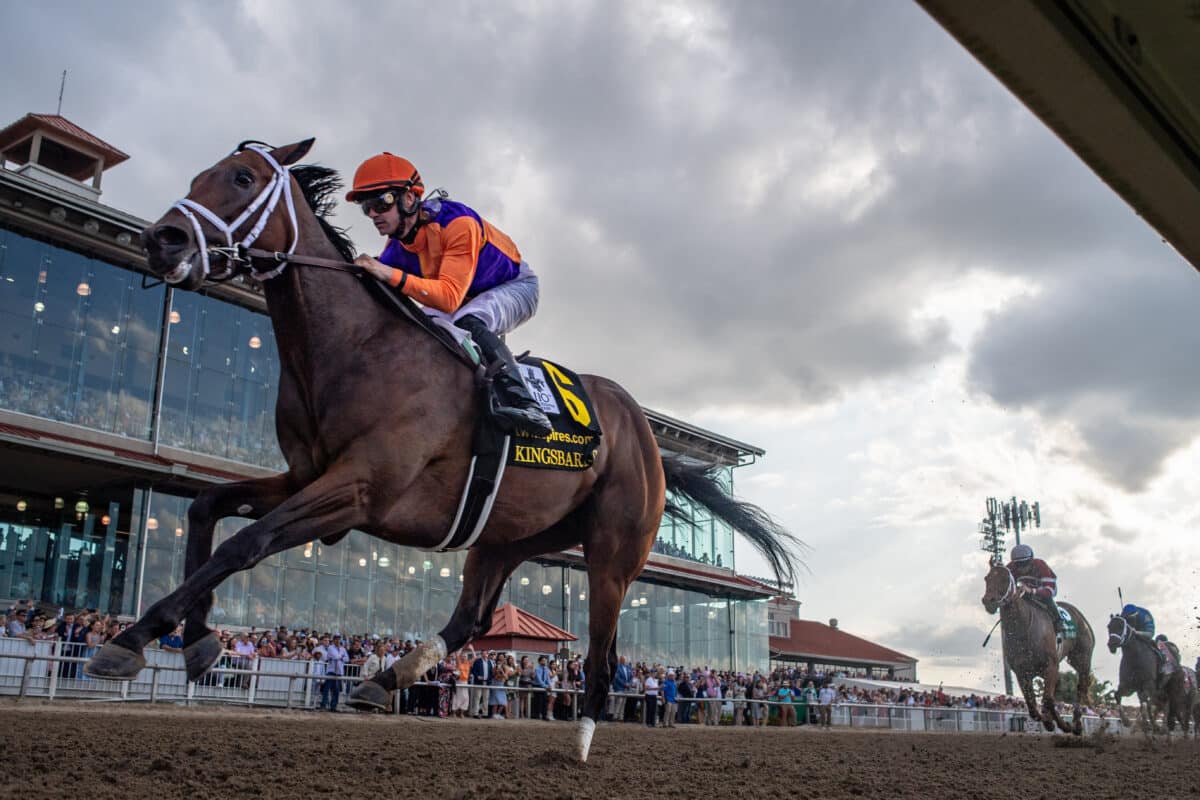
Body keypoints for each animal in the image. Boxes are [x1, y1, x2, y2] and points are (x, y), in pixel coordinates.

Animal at [82, 139, 796, 762]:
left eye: (241, 178)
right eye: (202, 173)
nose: (163, 239)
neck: (355, 348)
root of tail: (646, 433)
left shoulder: (358, 490)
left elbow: (244, 544)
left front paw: (137, 638)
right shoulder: (306, 475)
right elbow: (205, 506)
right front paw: (190, 640)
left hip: (613, 553)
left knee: (601, 655)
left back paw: (582, 743)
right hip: (507, 536)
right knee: (472, 618)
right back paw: (387, 677)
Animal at [979, 561, 1094, 734]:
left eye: (1005, 578)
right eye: (987, 578)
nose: (989, 601)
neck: (1023, 628)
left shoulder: (1051, 665)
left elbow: (1047, 699)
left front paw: (1062, 724)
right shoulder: (1022, 671)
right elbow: (1033, 706)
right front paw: (1048, 720)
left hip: (1082, 658)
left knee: (1081, 686)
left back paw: (1077, 724)